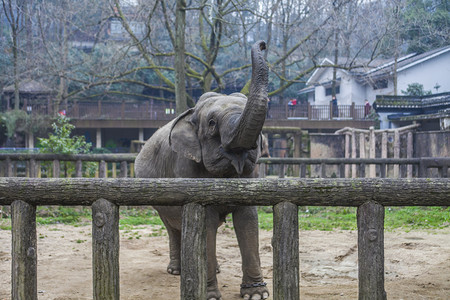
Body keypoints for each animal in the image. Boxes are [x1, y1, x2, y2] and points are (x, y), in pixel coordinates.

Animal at [135, 40, 268, 300]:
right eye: (212, 123)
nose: (262, 43)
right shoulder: (186, 167)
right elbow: (205, 222)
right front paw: (209, 295)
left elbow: (247, 220)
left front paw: (256, 294)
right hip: (158, 200)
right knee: (173, 226)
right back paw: (177, 270)